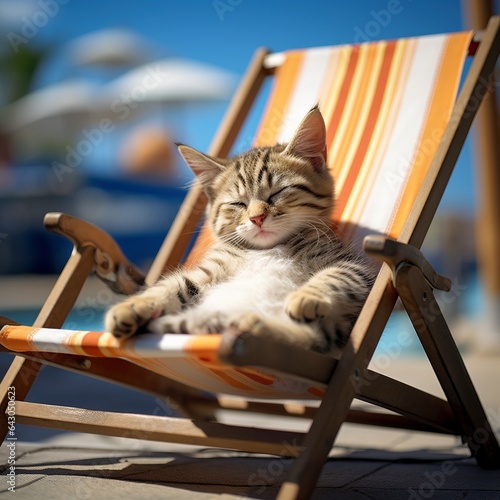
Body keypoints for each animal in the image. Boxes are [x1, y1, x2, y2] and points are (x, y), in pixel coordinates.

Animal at [105, 107, 376, 354]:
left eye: (277, 193)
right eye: (238, 204)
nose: (257, 218)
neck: (269, 249)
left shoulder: (354, 267)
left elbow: (337, 276)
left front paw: (306, 297)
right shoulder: (208, 271)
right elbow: (172, 285)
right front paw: (132, 306)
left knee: (309, 337)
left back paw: (252, 323)